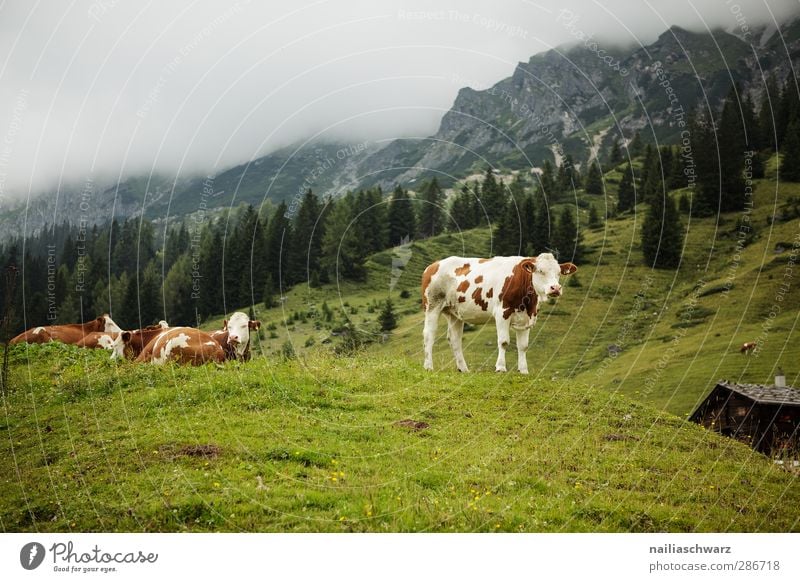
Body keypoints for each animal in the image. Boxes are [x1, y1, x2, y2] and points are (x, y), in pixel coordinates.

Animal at [422, 254, 580, 374]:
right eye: (540, 271)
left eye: (559, 273)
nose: (556, 288)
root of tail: (433, 265)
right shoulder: (502, 313)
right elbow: (504, 342)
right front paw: (501, 368)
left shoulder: (526, 318)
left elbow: (523, 346)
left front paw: (523, 370)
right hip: (432, 305)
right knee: (429, 334)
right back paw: (428, 366)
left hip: (454, 313)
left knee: (455, 339)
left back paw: (463, 369)